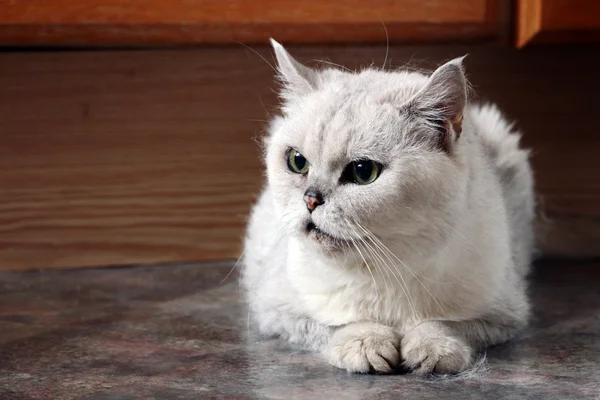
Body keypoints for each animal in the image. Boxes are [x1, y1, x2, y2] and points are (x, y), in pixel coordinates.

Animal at [241, 39, 532, 374]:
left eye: (363, 171)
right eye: (297, 162)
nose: (311, 199)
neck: (385, 267)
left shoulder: (505, 315)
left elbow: (443, 324)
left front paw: (431, 349)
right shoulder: (275, 310)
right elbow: (341, 324)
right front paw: (368, 345)